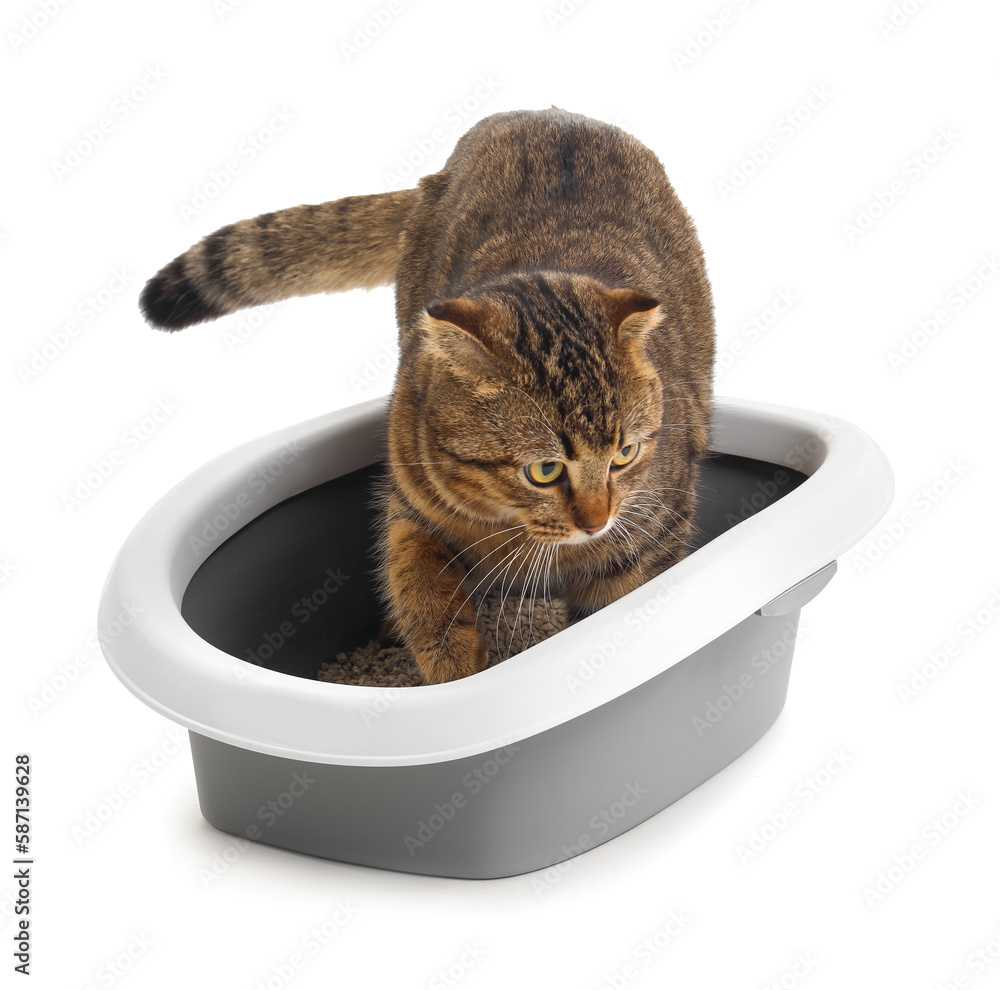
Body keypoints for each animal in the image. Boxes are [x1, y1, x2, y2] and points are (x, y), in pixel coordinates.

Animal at [143, 106, 720, 680]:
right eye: (544, 470)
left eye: (625, 454)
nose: (596, 522)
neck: (512, 525)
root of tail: (547, 113)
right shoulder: (411, 503)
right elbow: (418, 582)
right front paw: (454, 666)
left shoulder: (653, 533)